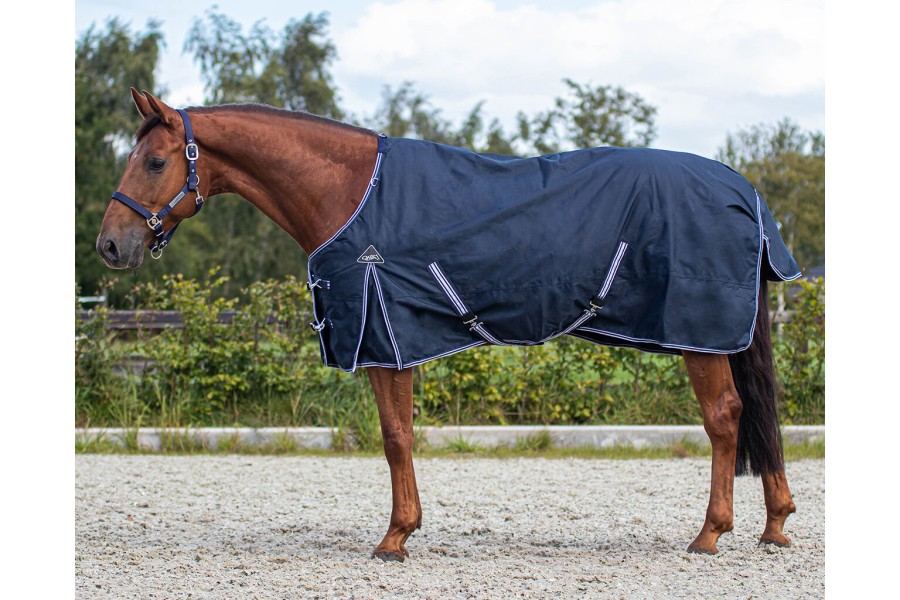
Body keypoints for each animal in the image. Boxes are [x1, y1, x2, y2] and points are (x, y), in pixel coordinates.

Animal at [96, 89, 798, 561]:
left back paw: (710, 534)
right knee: (758, 415)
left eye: (155, 162)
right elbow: (399, 435)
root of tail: (744, 190)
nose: (109, 245)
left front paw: (394, 537)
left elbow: (395, 437)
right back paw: (775, 525)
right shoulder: (390, 338)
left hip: (700, 333)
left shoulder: (384, 335)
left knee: (726, 417)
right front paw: (403, 529)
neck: (347, 192)